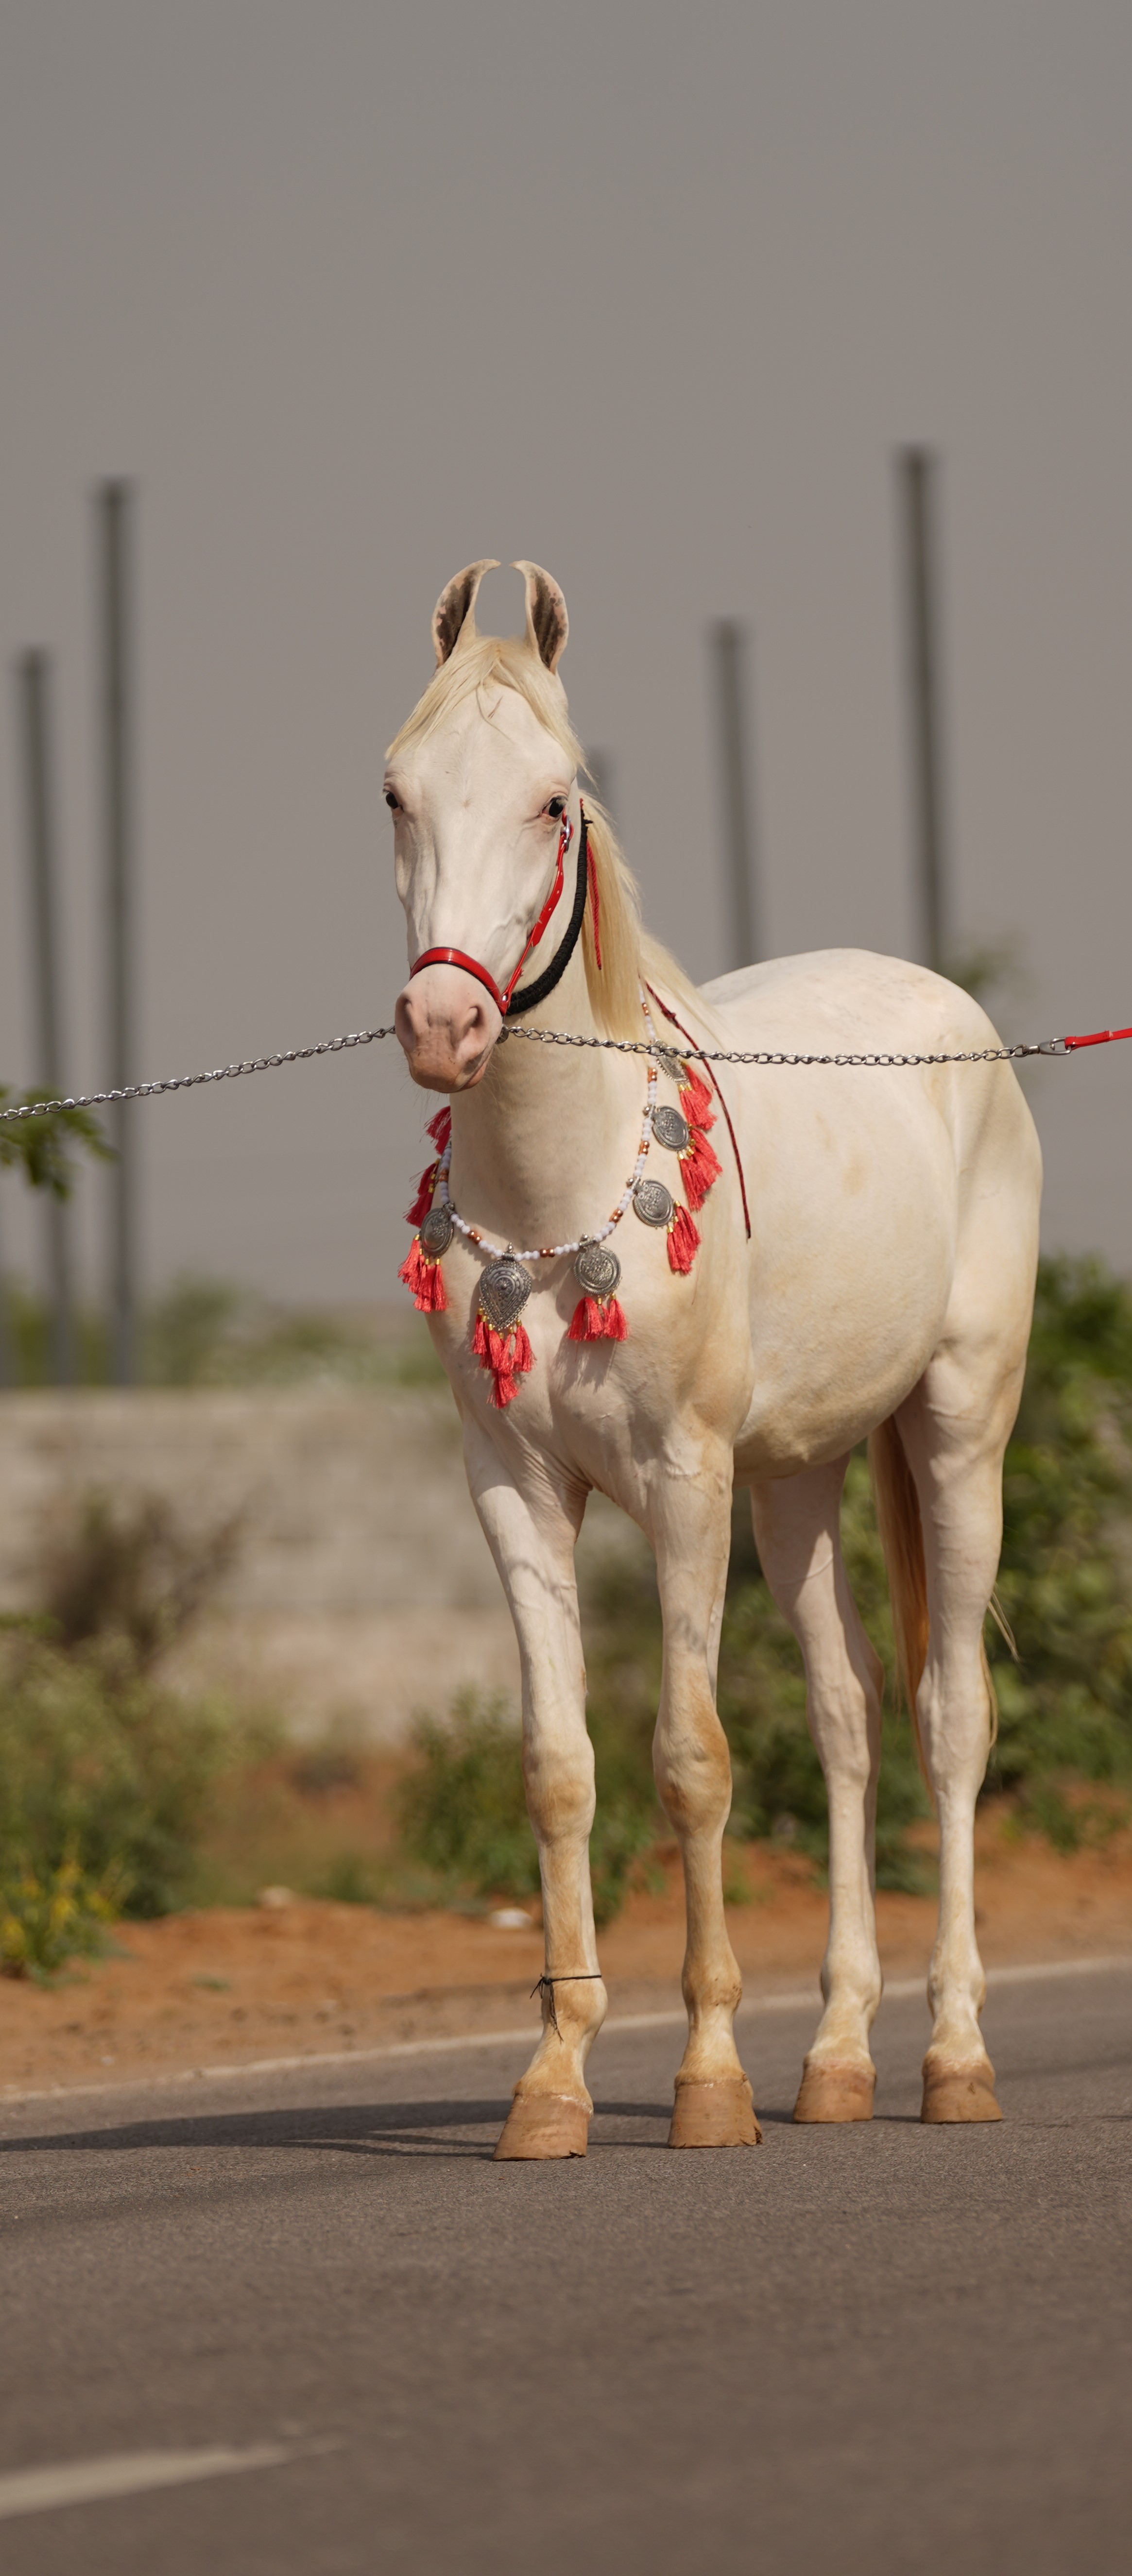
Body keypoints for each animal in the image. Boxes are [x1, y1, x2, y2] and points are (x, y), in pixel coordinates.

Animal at [389, 558, 1042, 2159]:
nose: (443, 1023)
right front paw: (552, 2079)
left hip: (955, 1431)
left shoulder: (683, 1485)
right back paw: (838, 2057)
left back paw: (949, 2056)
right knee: (847, 1719)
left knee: (946, 1721)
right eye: (396, 793)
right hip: (796, 1478)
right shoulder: (513, 1487)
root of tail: (957, 1022)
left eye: (554, 799)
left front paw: (701, 2077)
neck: (559, 1204)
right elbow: (559, 1770)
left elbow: (689, 1762)